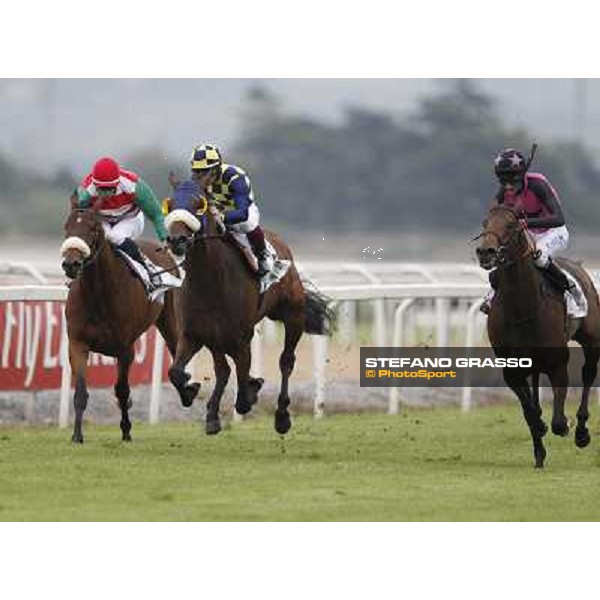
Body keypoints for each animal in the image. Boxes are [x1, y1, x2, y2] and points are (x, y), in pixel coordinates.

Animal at [58, 195, 192, 442]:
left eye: (93, 228)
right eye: (67, 227)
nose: (71, 264)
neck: (98, 296)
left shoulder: (125, 349)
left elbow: (122, 390)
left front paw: (126, 430)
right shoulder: (78, 344)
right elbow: (81, 392)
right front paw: (77, 435)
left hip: (169, 321)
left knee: (175, 349)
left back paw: (187, 391)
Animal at [164, 178, 332, 436]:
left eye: (198, 204)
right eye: (170, 204)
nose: (176, 241)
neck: (208, 280)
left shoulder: (241, 337)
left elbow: (243, 384)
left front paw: (252, 390)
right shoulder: (194, 334)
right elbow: (176, 372)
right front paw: (192, 392)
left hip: (293, 316)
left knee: (286, 361)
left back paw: (282, 416)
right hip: (216, 337)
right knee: (223, 369)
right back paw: (213, 414)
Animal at [476, 205, 600, 468]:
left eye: (511, 225)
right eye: (485, 223)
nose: (485, 252)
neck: (522, 308)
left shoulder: (558, 364)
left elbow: (558, 421)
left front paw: (565, 427)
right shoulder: (511, 369)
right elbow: (530, 412)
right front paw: (539, 445)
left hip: (592, 339)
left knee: (588, 374)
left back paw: (582, 432)